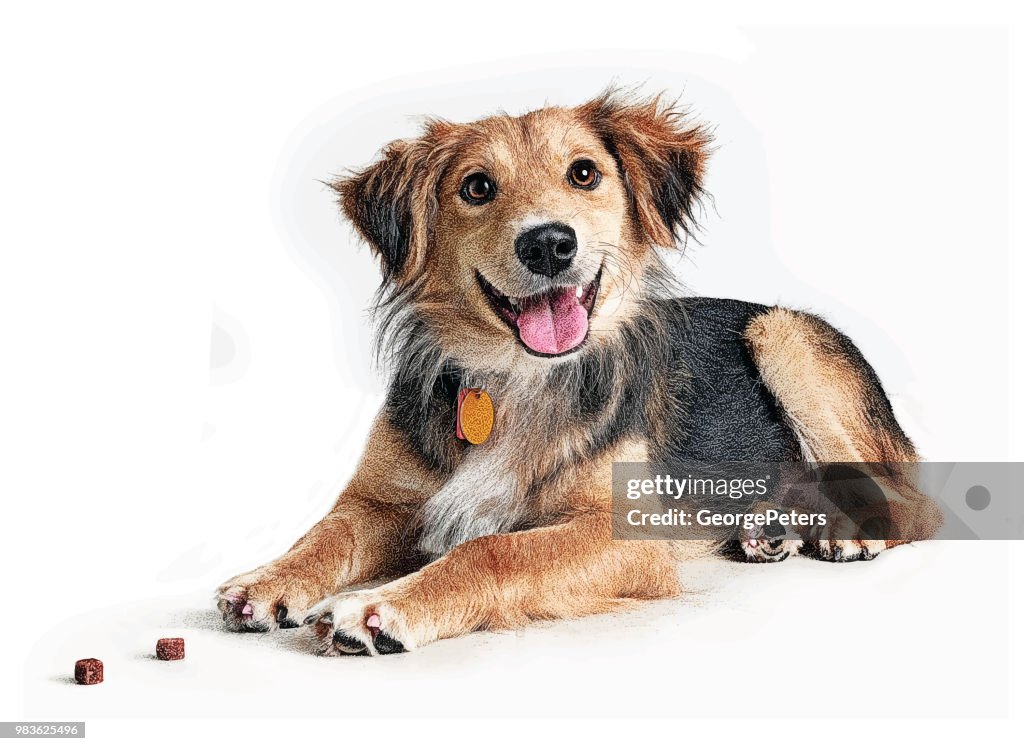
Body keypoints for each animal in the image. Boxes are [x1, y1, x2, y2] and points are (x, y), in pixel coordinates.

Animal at [216, 86, 942, 651]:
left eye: (585, 174)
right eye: (477, 187)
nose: (547, 243)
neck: (513, 377)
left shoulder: (624, 533)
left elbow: (492, 548)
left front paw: (379, 605)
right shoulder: (380, 500)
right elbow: (324, 533)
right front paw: (265, 579)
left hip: (782, 334)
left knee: (915, 501)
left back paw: (848, 534)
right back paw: (769, 530)